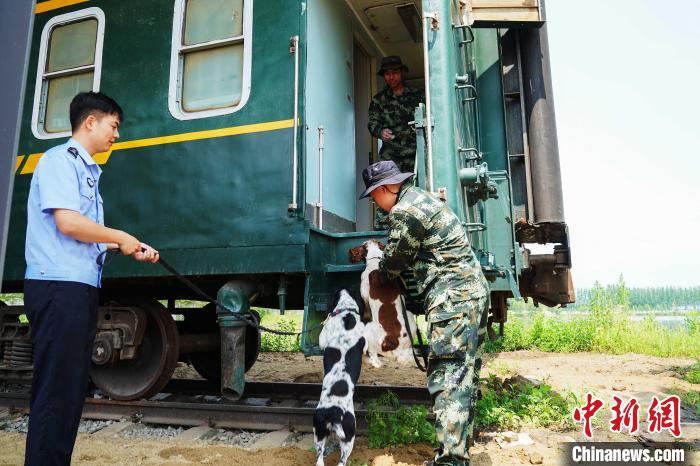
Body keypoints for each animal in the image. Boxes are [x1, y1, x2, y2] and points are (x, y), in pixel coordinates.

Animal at [314, 288, 366, 466]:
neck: (346, 311)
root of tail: (335, 413)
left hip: (321, 432)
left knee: (321, 459)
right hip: (347, 436)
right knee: (340, 461)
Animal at [348, 240, 416, 368]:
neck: (376, 259)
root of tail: (395, 346)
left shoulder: (364, 293)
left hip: (368, 328)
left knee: (374, 357)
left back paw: (372, 361)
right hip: (410, 317)